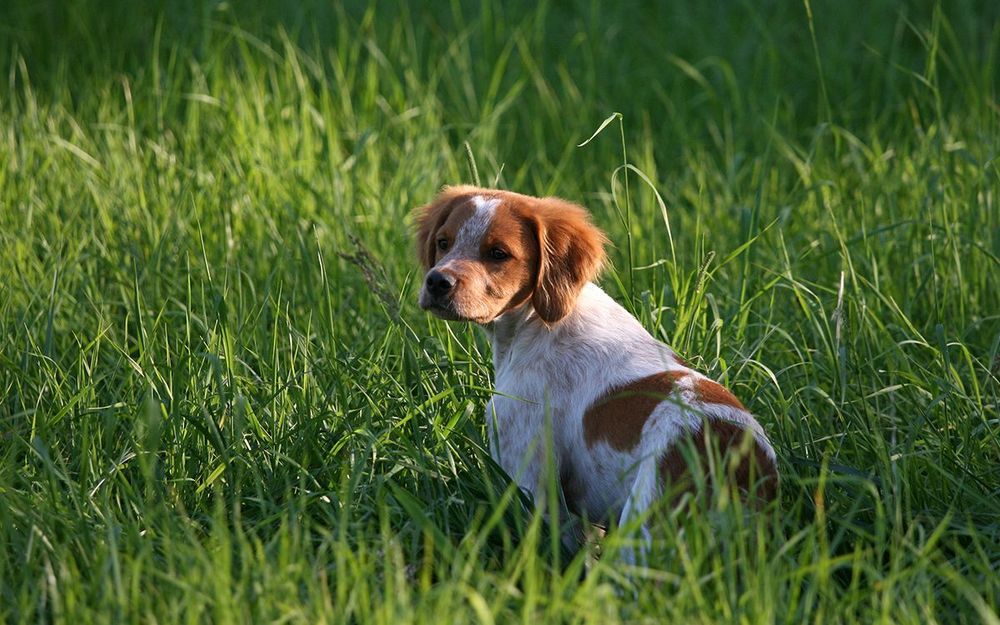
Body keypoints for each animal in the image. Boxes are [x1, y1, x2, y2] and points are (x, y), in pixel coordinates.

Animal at [410, 185, 776, 560]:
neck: (537, 322)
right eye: (443, 242)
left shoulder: (528, 471)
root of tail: (736, 454)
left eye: (498, 254)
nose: (437, 281)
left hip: (642, 523)